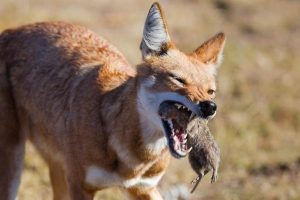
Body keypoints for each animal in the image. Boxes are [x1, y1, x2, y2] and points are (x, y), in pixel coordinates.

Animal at [0, 1, 225, 200]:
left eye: (211, 91)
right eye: (178, 79)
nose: (209, 107)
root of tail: (10, 30)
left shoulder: (142, 188)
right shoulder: (80, 186)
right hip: (14, 164)